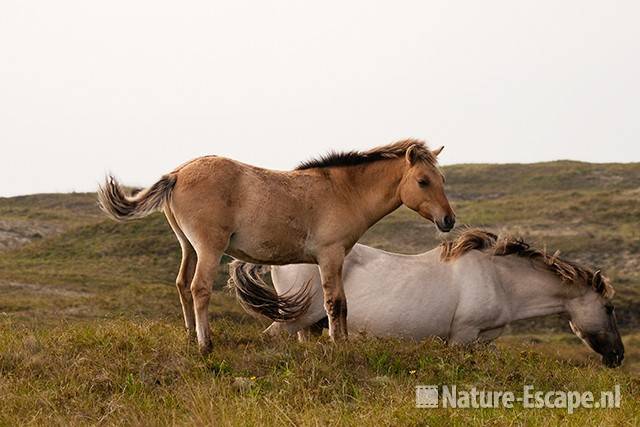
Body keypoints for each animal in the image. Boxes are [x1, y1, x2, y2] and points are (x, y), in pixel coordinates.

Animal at [97, 140, 452, 354]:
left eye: (443, 180)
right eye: (423, 181)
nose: (448, 220)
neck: (343, 191)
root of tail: (177, 174)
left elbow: (340, 303)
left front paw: (341, 341)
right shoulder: (330, 255)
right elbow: (335, 302)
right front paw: (338, 344)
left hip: (189, 247)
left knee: (183, 284)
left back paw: (188, 336)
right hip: (209, 248)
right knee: (199, 288)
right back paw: (205, 344)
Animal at [231, 231, 624, 368]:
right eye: (608, 308)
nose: (618, 356)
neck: (499, 278)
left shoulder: (482, 340)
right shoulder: (463, 336)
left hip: (307, 327)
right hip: (292, 320)